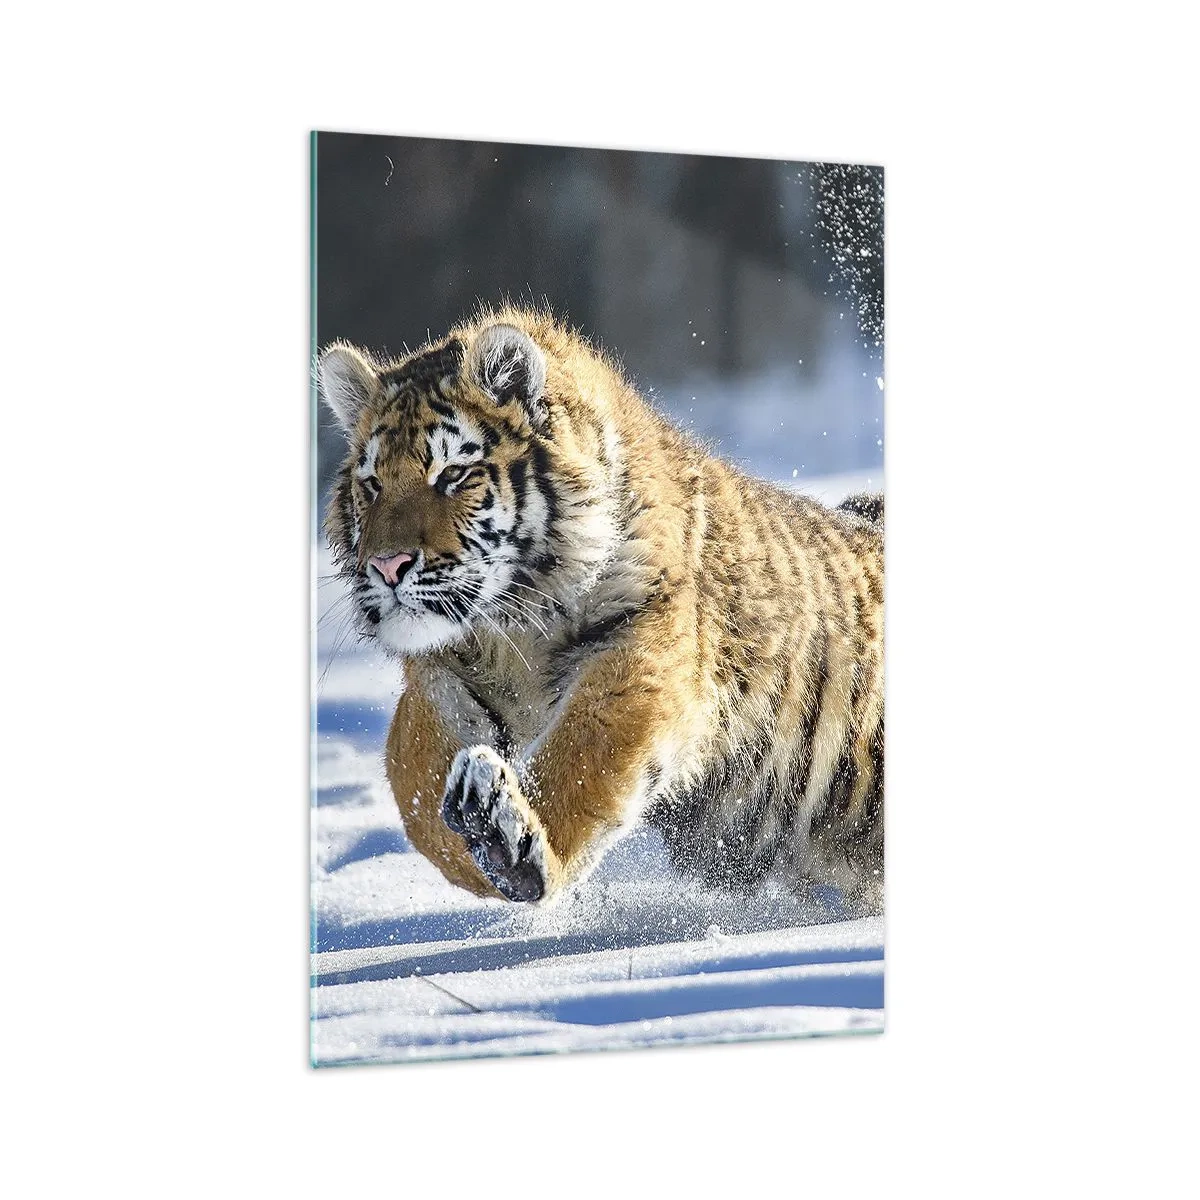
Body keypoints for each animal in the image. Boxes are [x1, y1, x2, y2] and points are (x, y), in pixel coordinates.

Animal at [319, 305, 884, 911]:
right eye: (372, 484)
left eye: (452, 475)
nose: (387, 566)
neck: (510, 626)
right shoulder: (438, 678)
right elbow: (415, 790)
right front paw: (476, 841)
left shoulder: (639, 653)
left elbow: (582, 759)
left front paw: (510, 844)